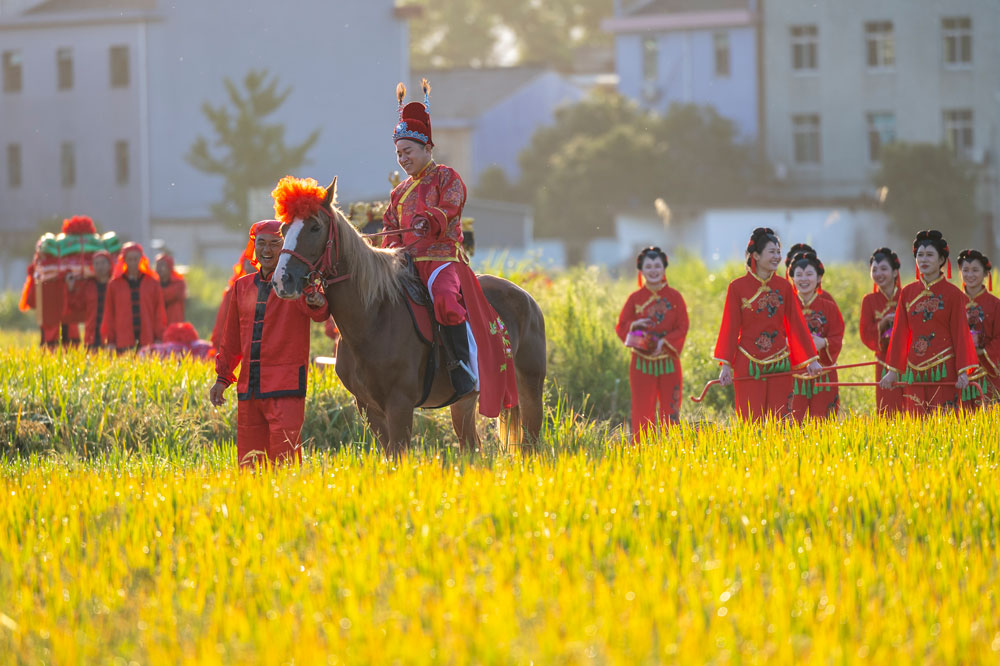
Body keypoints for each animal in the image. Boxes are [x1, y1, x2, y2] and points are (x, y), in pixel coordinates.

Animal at [272, 178, 548, 456]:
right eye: (284, 229)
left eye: (315, 227)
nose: (282, 280)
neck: (373, 317)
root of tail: (527, 298)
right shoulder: (369, 408)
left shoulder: (400, 404)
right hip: (465, 401)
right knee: (471, 446)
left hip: (529, 389)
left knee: (530, 444)